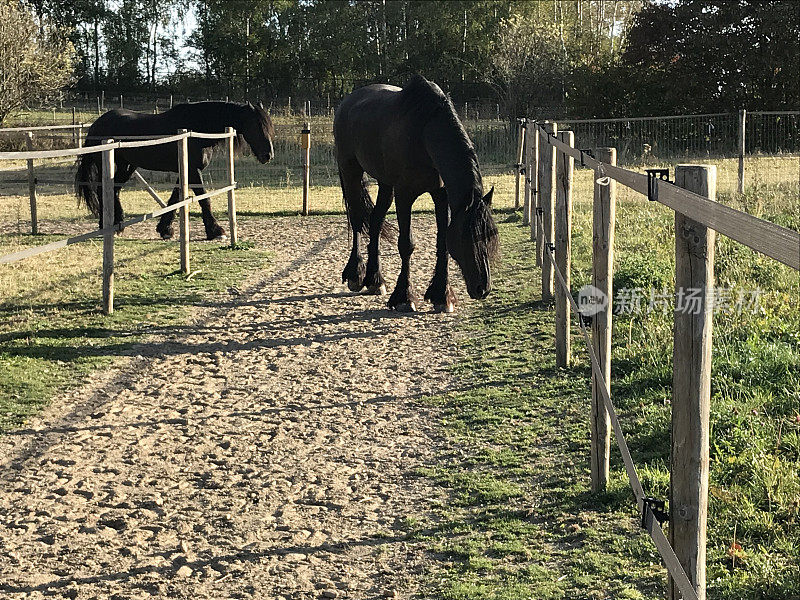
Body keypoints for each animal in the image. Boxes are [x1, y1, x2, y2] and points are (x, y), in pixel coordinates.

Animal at [76, 101, 276, 239]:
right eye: (256, 125)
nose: (268, 155)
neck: (196, 128)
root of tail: (96, 125)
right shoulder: (193, 171)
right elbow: (204, 199)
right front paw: (215, 230)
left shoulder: (186, 171)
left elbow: (175, 198)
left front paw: (165, 229)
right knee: (103, 190)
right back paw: (105, 225)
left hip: (127, 166)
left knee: (114, 190)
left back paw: (118, 223)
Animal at [334, 74, 496, 314]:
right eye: (466, 236)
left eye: (489, 236)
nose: (482, 289)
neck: (424, 133)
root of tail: (347, 101)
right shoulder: (405, 195)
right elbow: (406, 244)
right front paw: (404, 297)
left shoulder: (441, 195)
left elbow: (441, 242)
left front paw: (442, 296)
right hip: (351, 171)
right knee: (356, 220)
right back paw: (357, 275)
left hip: (385, 184)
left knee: (375, 221)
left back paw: (375, 280)